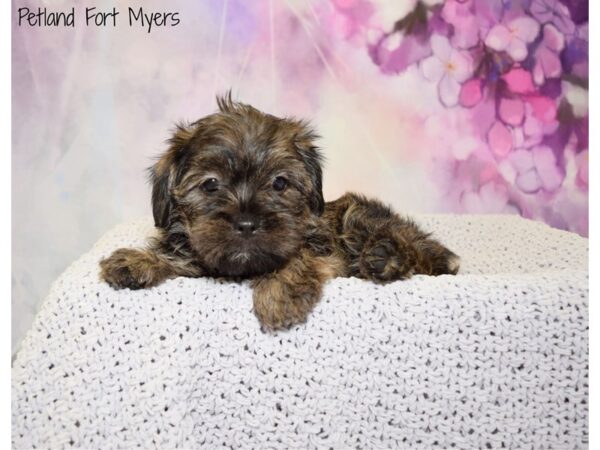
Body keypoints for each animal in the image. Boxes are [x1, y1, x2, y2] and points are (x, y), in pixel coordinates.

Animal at [99, 93, 460, 328]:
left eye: (280, 183)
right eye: (211, 184)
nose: (247, 223)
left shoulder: (324, 250)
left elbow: (297, 258)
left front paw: (280, 293)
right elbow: (181, 258)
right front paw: (136, 260)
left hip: (357, 216)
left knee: (425, 255)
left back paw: (385, 257)